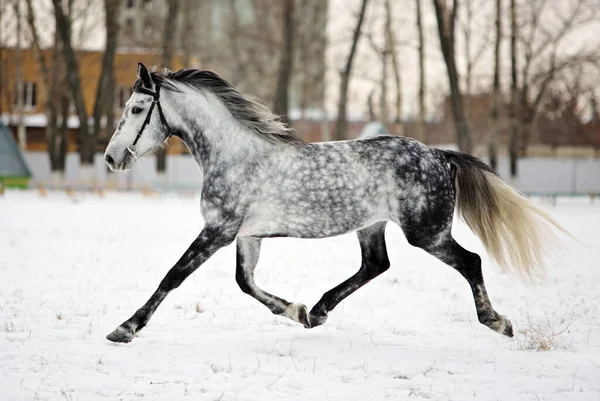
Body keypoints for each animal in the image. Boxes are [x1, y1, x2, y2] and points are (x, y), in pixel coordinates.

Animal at [102, 63, 564, 344]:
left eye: (138, 108)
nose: (111, 158)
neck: (235, 154)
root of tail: (439, 154)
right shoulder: (246, 234)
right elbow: (245, 282)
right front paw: (297, 310)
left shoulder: (218, 230)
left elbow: (173, 276)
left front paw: (125, 328)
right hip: (372, 225)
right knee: (376, 265)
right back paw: (320, 310)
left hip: (427, 233)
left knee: (470, 262)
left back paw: (498, 322)